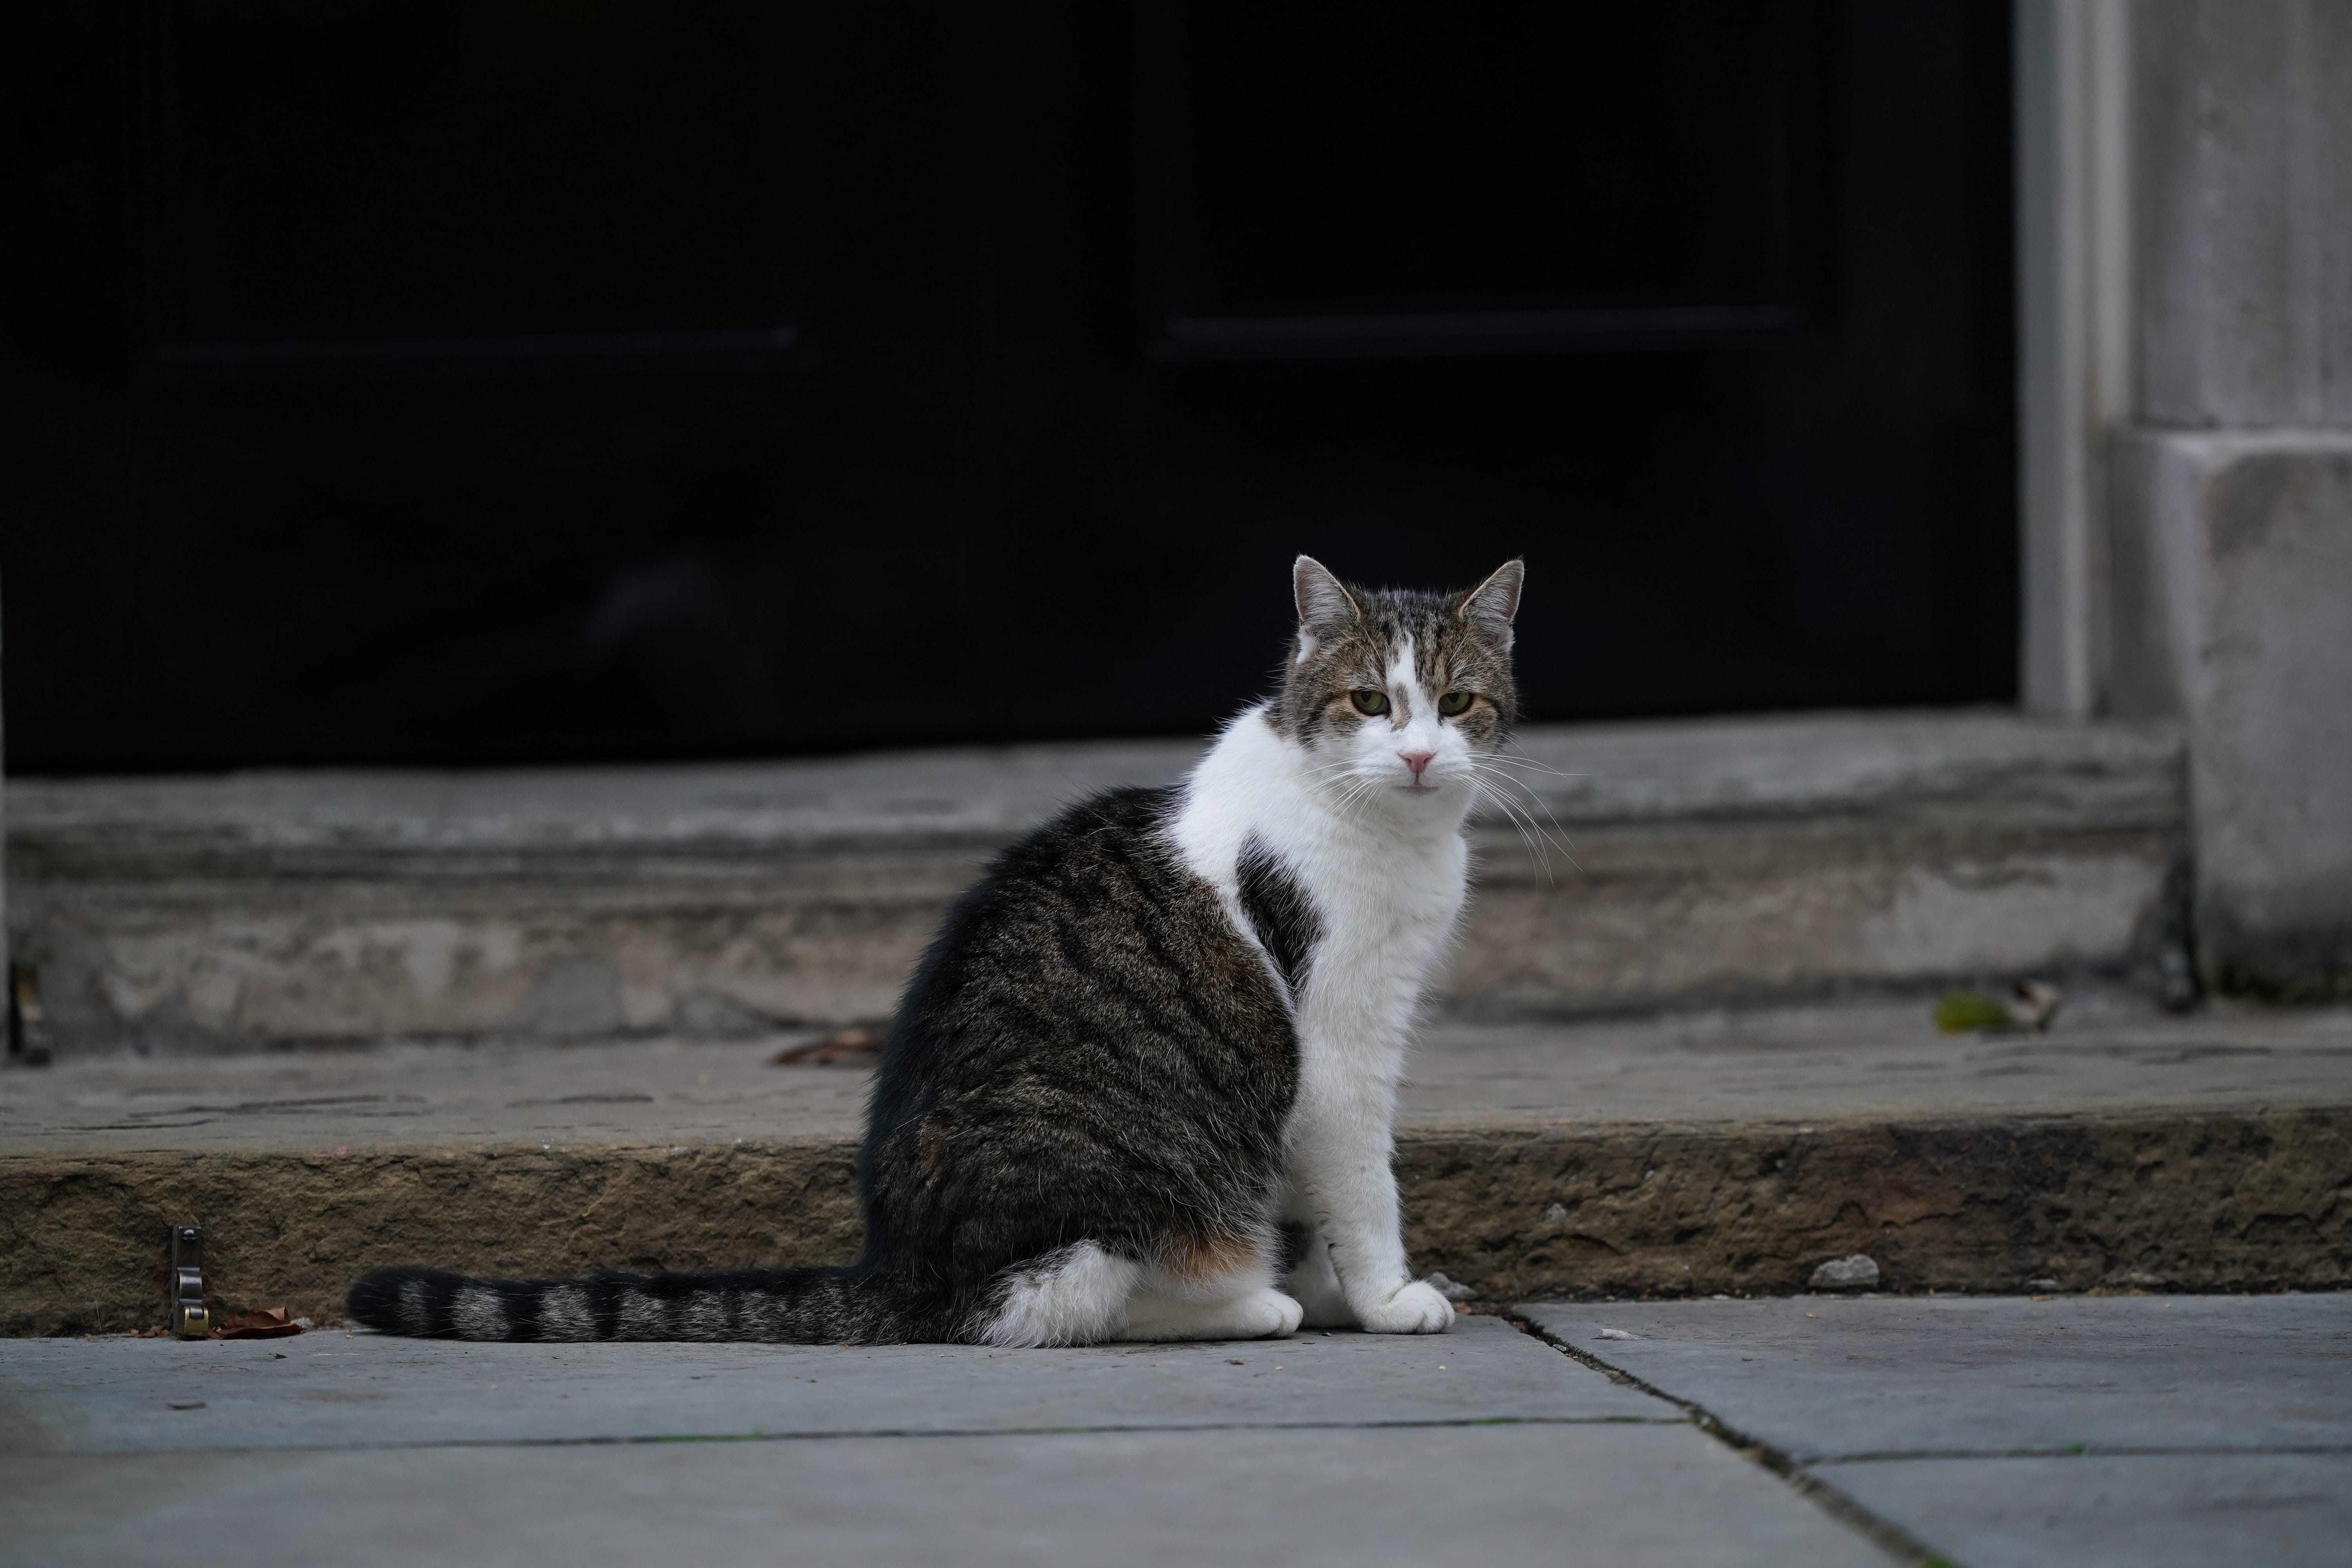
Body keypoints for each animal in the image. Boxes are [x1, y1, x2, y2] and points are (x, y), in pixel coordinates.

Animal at [348, 555, 1524, 1354]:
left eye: (1457, 703)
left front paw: (1341, 1293)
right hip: (1116, 1193)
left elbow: (1320, 1194)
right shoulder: (1334, 1045)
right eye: (1370, 702)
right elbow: (1362, 1183)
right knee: (1041, 1306)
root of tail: (901, 1263)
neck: (1392, 828)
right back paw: (1250, 1302)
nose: (1421, 756)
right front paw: (1383, 1299)